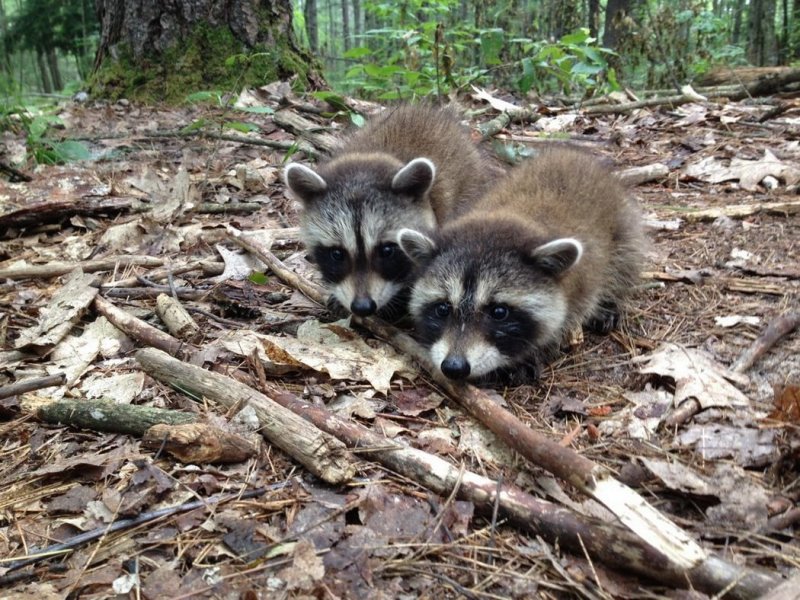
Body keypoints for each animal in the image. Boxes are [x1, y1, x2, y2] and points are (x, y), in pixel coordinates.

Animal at [396, 148, 648, 382]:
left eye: (499, 312)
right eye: (443, 308)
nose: (454, 367)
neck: (507, 217)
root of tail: (571, 153)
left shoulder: (583, 285)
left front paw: (533, 353)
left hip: (623, 225)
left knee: (626, 260)